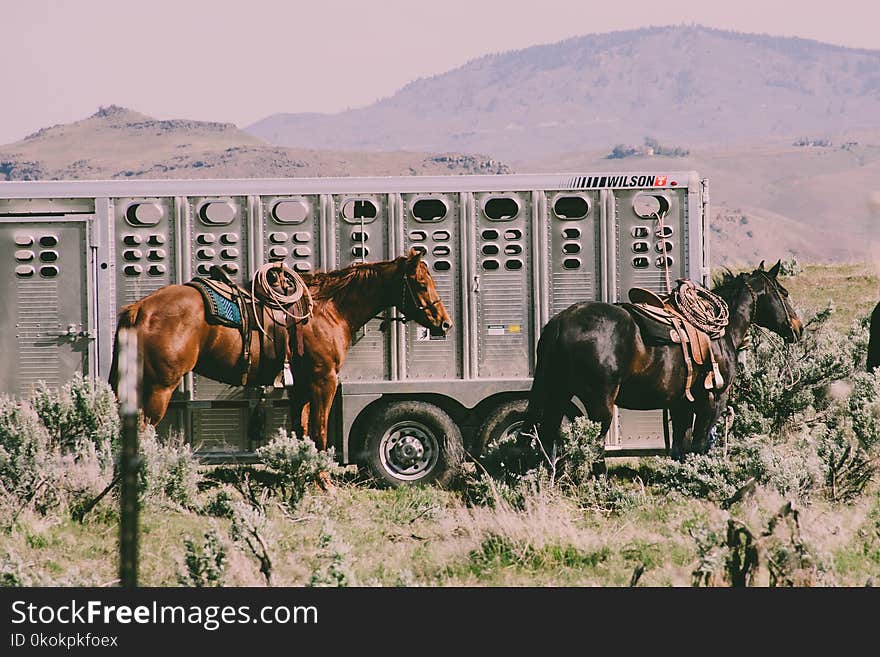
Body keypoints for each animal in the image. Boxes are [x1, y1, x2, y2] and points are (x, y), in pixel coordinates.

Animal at [109, 247, 450, 452]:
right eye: (421, 283)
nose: (444, 323)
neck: (328, 310)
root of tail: (139, 309)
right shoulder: (324, 380)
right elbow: (320, 432)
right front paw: (326, 485)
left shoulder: (301, 386)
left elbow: (302, 430)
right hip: (159, 388)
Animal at [524, 258, 804, 458]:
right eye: (783, 292)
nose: (798, 328)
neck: (722, 332)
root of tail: (561, 321)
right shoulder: (713, 399)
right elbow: (700, 444)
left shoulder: (681, 404)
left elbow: (681, 447)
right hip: (599, 405)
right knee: (591, 449)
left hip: (558, 395)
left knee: (547, 440)